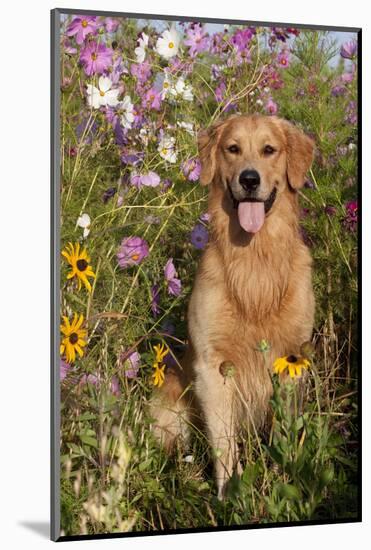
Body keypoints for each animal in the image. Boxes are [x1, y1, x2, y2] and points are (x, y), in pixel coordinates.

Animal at [150, 113, 316, 500]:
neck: (254, 262)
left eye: (269, 149)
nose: (249, 179)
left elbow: (284, 433)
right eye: (232, 148)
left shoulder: (291, 360)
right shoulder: (213, 367)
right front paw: (231, 494)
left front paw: (285, 477)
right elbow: (224, 443)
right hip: (169, 404)